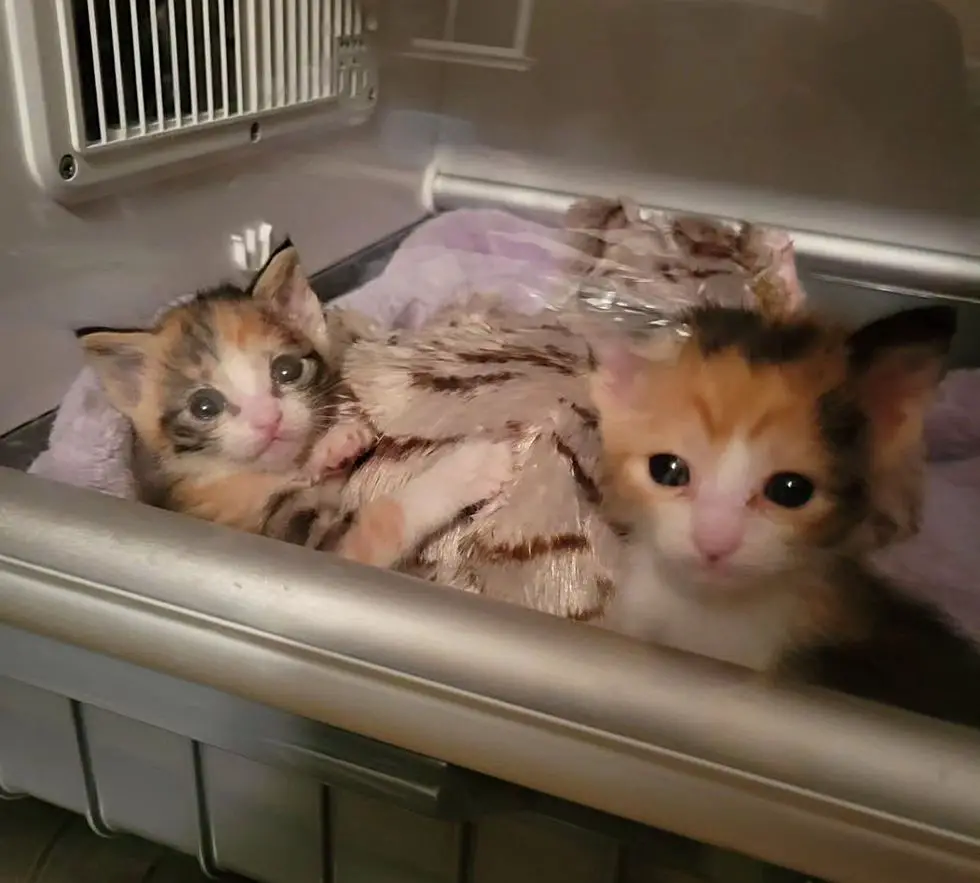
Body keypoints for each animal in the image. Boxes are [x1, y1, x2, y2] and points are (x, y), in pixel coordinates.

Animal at [78, 240, 512, 572]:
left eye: (286, 370)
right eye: (204, 406)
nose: (268, 420)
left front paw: (336, 443)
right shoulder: (299, 545)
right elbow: (380, 522)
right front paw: (469, 467)